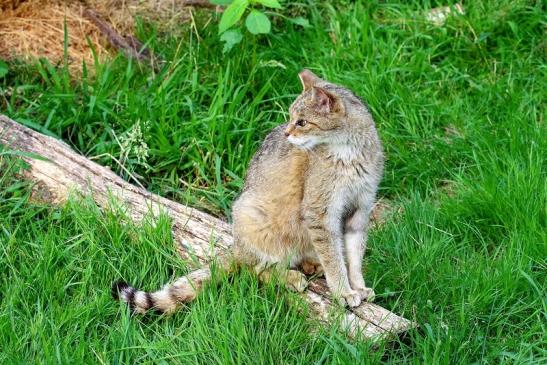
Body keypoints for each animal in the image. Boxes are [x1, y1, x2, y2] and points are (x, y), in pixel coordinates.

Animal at [112, 69, 386, 312]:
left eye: (302, 122)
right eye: (290, 118)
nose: (287, 133)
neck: (350, 155)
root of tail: (238, 246)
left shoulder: (360, 208)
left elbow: (353, 256)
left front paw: (357, 286)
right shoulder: (319, 212)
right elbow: (334, 259)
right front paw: (343, 291)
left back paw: (310, 265)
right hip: (253, 217)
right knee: (256, 269)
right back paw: (290, 277)